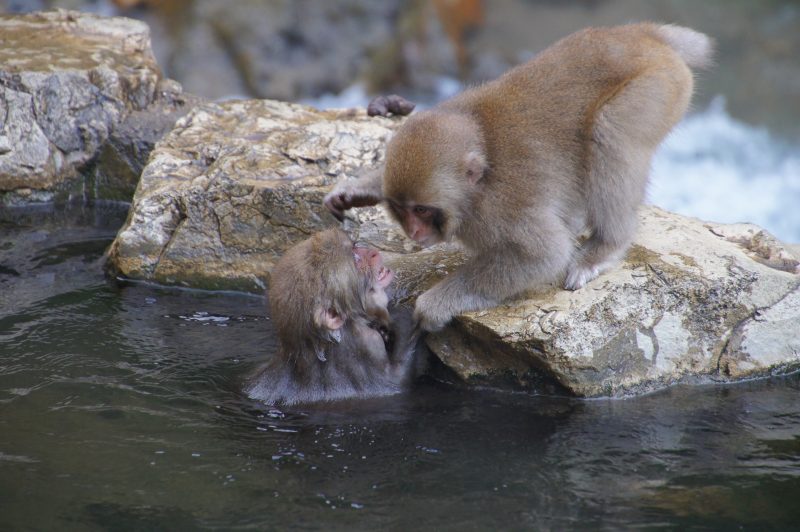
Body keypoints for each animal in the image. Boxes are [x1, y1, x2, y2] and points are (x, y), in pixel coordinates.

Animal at [246, 228, 424, 407]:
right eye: (356, 261)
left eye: (354, 247)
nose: (373, 253)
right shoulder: (366, 341)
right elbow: (395, 380)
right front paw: (402, 316)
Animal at [325, 23, 713, 331]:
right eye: (402, 209)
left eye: (421, 210)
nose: (413, 232)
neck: (476, 188)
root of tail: (644, 35)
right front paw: (355, 190)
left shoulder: (503, 209)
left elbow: (544, 256)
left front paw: (435, 304)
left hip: (658, 88)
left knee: (610, 132)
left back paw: (605, 247)